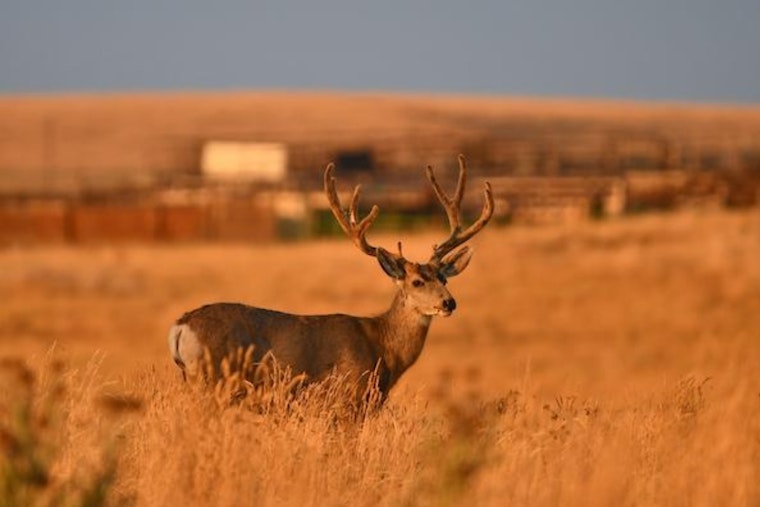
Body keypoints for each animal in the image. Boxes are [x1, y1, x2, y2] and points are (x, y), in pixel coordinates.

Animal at [168, 154, 494, 405]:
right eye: (416, 282)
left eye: (444, 279)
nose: (449, 303)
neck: (382, 347)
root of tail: (181, 326)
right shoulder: (347, 397)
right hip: (212, 379)